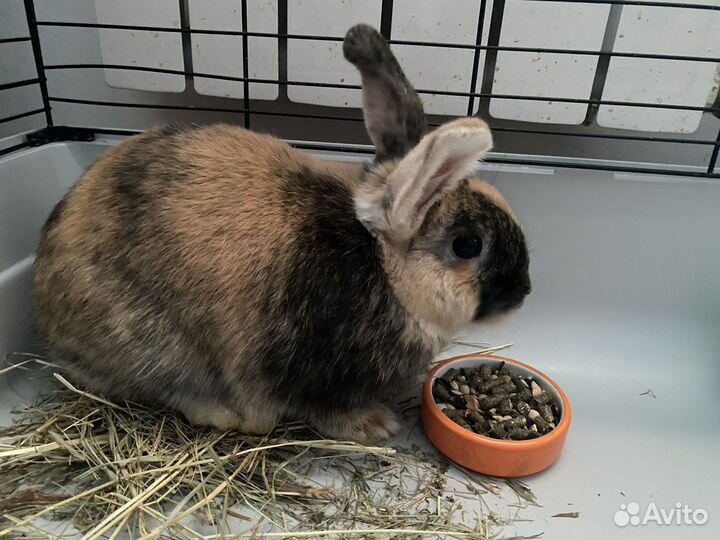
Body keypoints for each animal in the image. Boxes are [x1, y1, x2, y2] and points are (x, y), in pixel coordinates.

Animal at [33, 24, 531, 443]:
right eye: (468, 244)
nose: (523, 292)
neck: (384, 270)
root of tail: (48, 314)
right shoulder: (310, 376)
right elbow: (327, 411)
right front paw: (376, 425)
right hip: (156, 344)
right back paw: (230, 414)